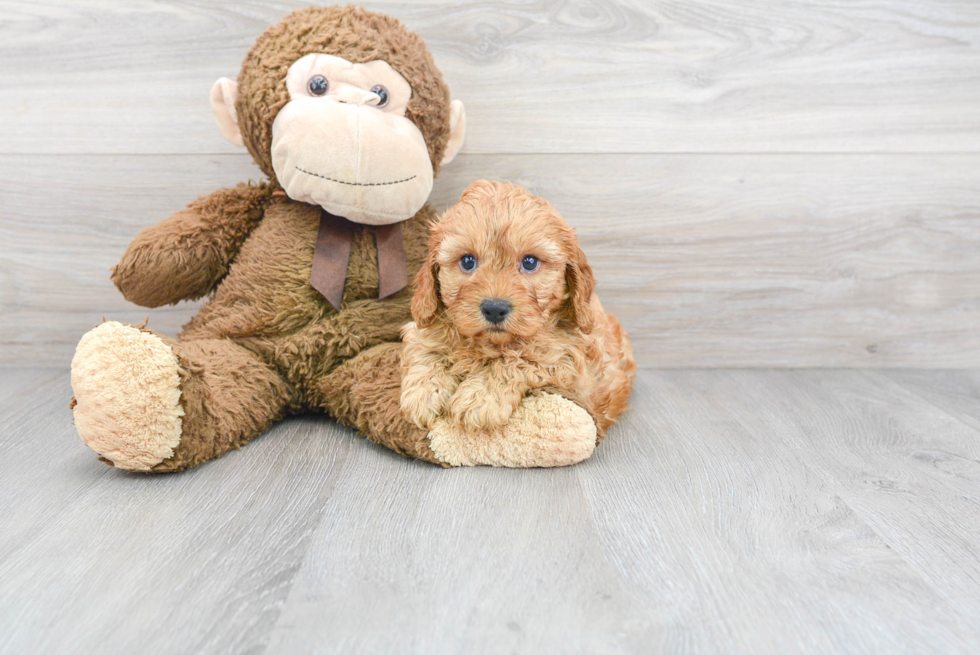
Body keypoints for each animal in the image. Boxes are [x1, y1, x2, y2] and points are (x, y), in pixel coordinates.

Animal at [398, 181, 636, 436]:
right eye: (467, 261)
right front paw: (424, 392)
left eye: (530, 262)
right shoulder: (422, 327)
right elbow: (426, 348)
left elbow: (516, 360)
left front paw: (479, 398)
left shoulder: (568, 358)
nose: (494, 309)